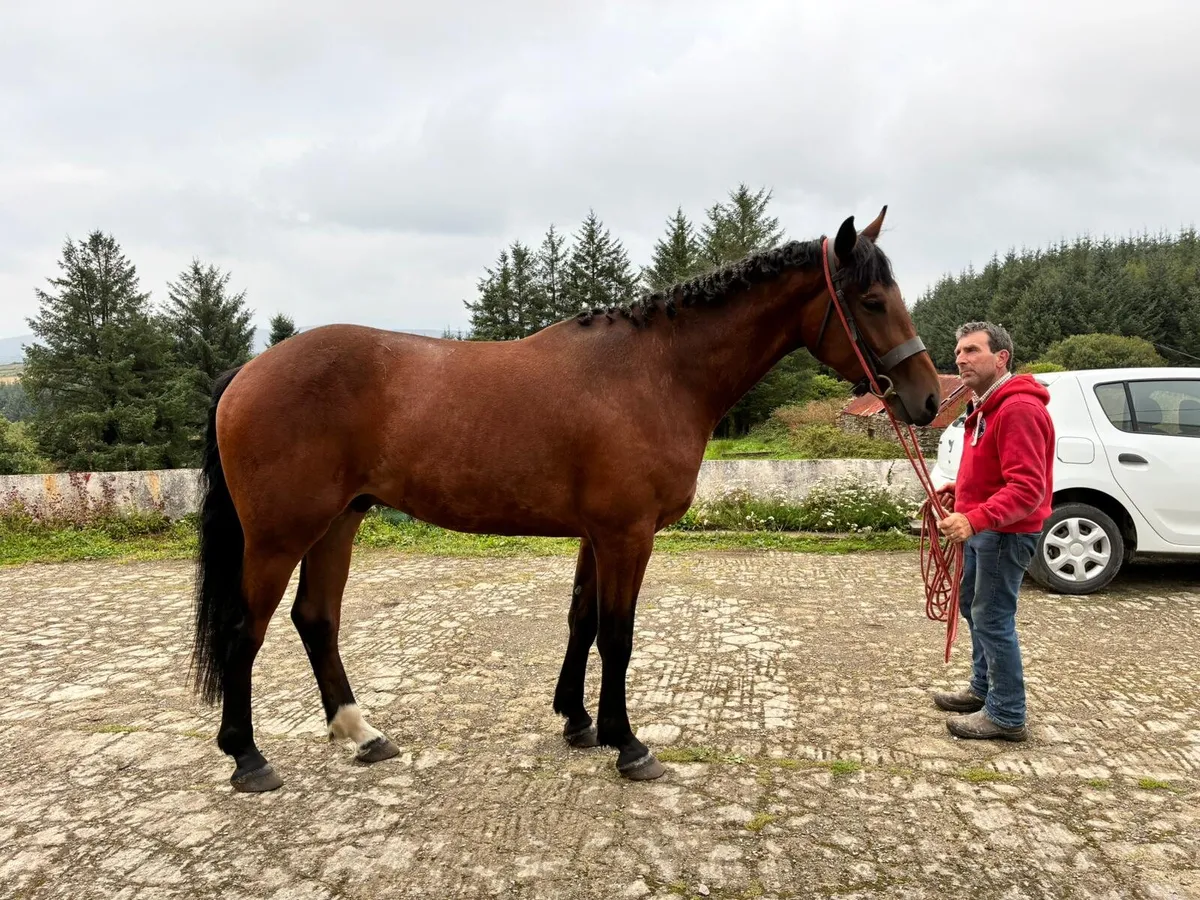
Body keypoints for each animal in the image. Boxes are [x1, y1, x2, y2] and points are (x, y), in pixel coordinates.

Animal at [190, 206, 942, 792]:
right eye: (871, 302)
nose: (929, 398)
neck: (658, 373)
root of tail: (248, 370)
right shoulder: (627, 534)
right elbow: (617, 634)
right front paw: (628, 743)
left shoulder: (596, 534)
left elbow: (581, 620)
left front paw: (578, 722)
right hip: (280, 536)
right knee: (244, 630)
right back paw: (248, 758)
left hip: (338, 522)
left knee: (315, 619)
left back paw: (362, 733)